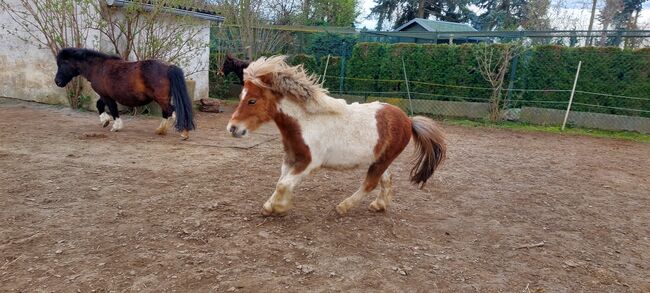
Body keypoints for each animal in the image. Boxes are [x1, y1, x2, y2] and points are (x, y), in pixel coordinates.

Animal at [53, 47, 194, 139]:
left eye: (63, 63)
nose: (57, 81)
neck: (98, 68)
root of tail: (168, 67)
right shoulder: (105, 95)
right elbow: (99, 105)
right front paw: (105, 121)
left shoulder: (106, 96)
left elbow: (113, 109)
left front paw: (115, 126)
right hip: (163, 98)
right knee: (167, 113)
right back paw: (161, 130)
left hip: (161, 98)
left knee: (172, 112)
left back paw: (183, 133)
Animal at [225, 55, 442, 214]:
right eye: (240, 97)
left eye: (252, 101)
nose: (232, 128)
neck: (305, 123)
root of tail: (408, 120)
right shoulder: (290, 159)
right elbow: (281, 182)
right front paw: (271, 205)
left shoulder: (309, 163)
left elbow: (283, 184)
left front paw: (277, 207)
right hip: (379, 159)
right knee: (385, 179)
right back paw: (379, 205)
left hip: (383, 160)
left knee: (370, 183)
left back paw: (343, 207)